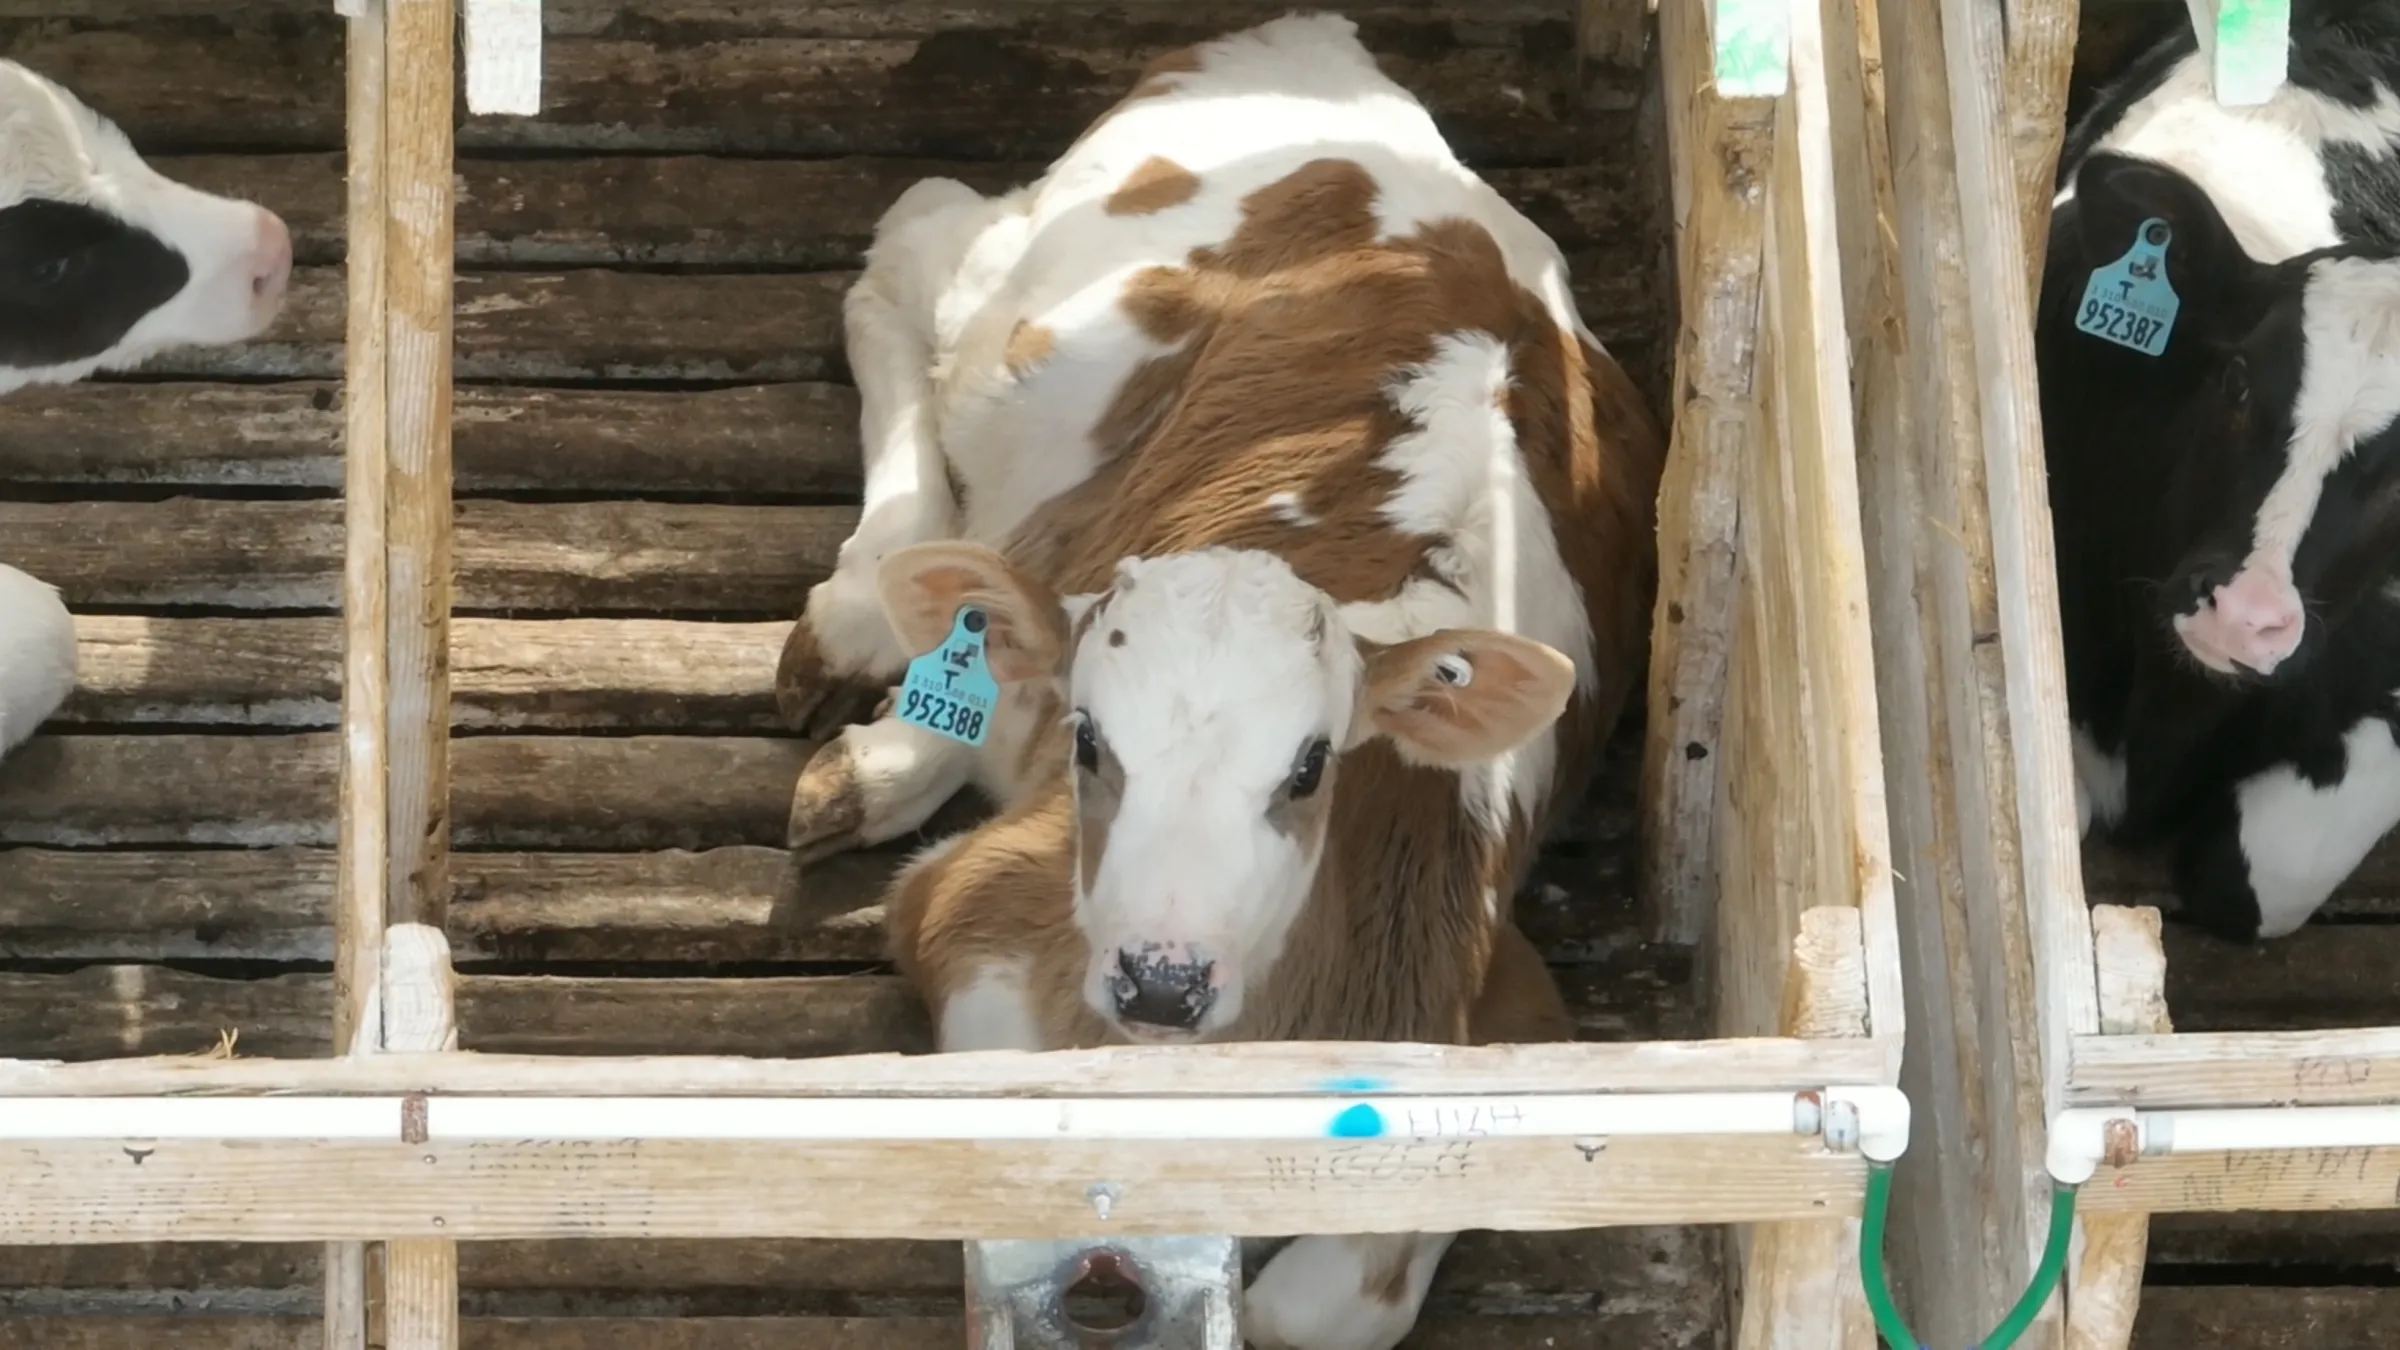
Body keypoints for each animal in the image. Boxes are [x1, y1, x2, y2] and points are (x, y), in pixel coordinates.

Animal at [768, 13, 1664, 1348]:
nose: (1161, 976)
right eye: (1093, 742)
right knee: (910, 253)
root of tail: (1315, 50)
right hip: (1025, 333)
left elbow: (1325, 1303)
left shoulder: (1503, 1016)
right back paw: (866, 638)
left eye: (1308, 765)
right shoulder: (979, 918)